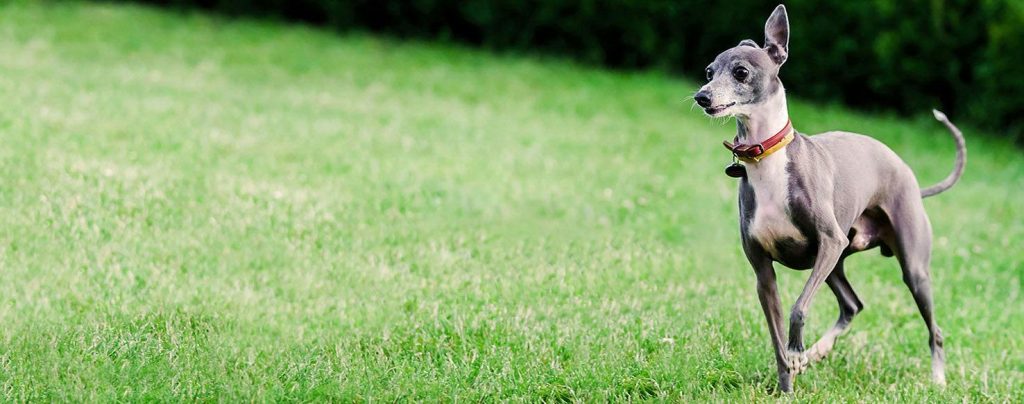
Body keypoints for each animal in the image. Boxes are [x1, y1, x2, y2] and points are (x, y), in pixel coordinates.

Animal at [692, 3, 962, 394]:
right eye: (710, 72)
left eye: (741, 72)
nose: (702, 96)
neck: (767, 160)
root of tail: (911, 180)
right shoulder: (763, 272)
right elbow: (775, 337)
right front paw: (786, 386)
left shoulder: (829, 241)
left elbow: (798, 308)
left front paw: (796, 350)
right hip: (837, 261)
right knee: (852, 305)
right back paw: (816, 352)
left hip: (906, 266)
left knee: (934, 329)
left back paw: (937, 379)